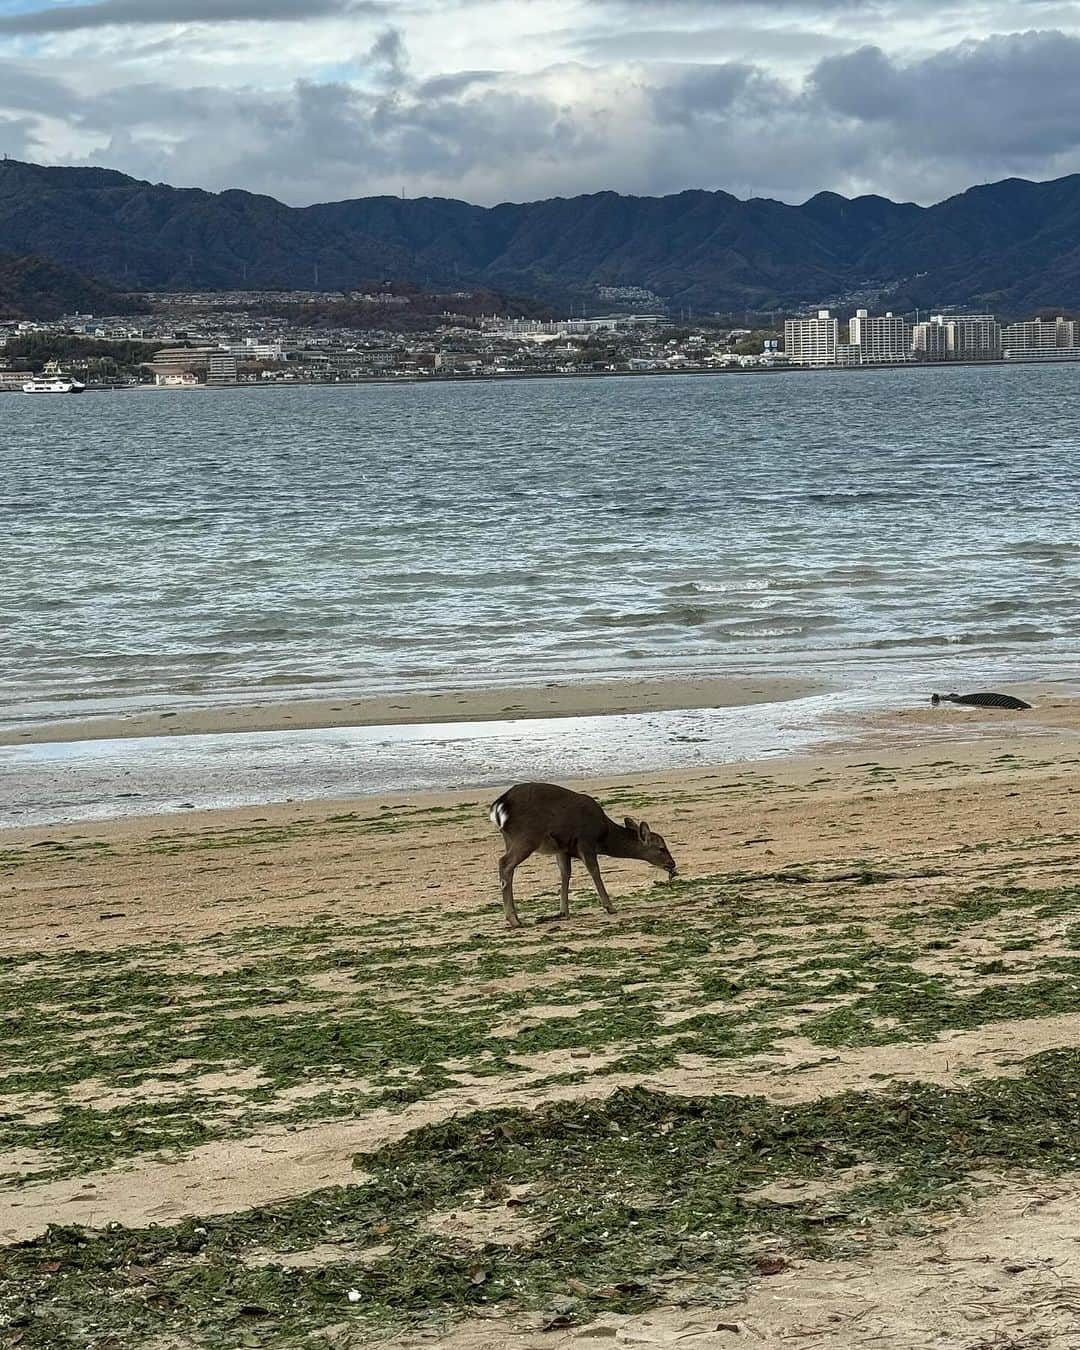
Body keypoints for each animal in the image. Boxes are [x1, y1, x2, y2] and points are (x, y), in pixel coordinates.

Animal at [486, 783, 675, 928]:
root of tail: (499, 806)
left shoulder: (563, 850)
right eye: (661, 848)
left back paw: (515, 918)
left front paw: (564, 912)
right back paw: (514, 920)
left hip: (509, 838)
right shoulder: (586, 841)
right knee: (504, 863)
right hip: (527, 836)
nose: (672, 864)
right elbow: (594, 871)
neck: (603, 836)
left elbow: (565, 874)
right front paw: (610, 907)